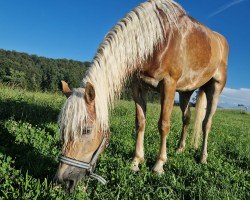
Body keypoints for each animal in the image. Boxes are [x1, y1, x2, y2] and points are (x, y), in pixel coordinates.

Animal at [54, 0, 229, 191]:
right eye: (62, 127)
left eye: (86, 130)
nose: (63, 181)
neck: (158, 39)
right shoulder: (137, 86)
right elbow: (140, 123)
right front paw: (136, 162)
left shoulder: (169, 85)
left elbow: (164, 125)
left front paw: (159, 165)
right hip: (185, 92)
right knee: (187, 119)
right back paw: (179, 149)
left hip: (215, 89)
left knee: (206, 124)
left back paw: (203, 157)